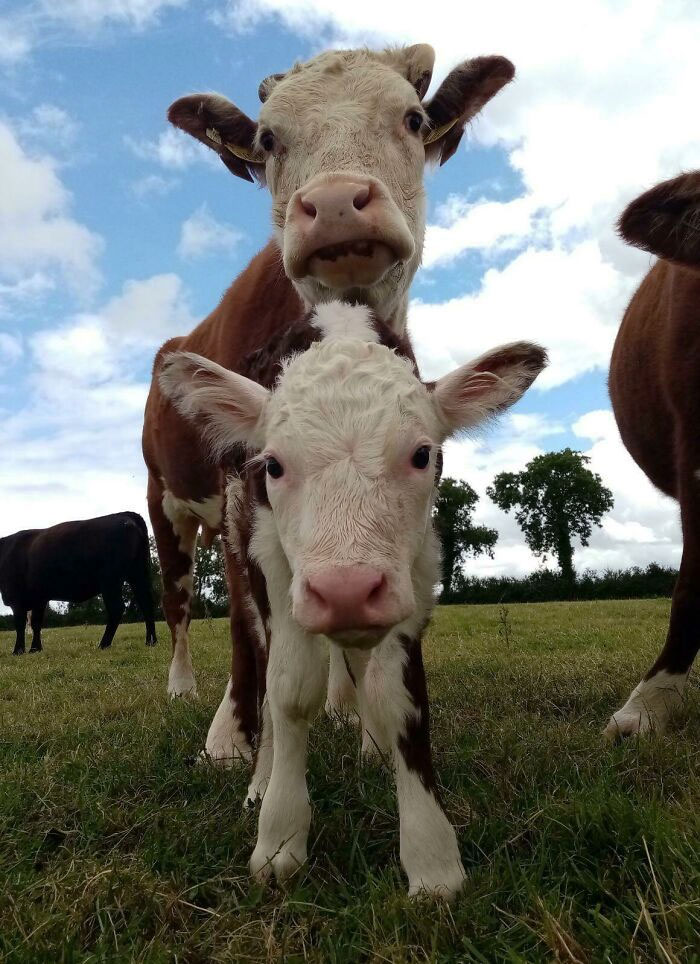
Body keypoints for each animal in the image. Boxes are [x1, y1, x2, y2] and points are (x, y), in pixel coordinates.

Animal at [0, 512, 157, 655]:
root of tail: (125, 515)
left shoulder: (16, 599)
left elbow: (20, 625)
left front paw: (18, 651)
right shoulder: (39, 599)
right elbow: (36, 623)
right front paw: (35, 649)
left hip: (111, 581)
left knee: (117, 609)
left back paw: (103, 644)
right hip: (139, 574)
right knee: (147, 603)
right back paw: (151, 641)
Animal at [143, 43, 516, 763]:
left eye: (413, 117)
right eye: (267, 140)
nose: (338, 201)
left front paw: (370, 728)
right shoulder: (243, 479)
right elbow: (246, 623)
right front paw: (233, 737)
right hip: (165, 502)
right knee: (178, 603)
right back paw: (180, 688)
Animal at [159, 299, 547, 897]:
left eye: (422, 455)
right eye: (273, 465)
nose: (345, 591)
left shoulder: (416, 568)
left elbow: (398, 698)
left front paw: (431, 859)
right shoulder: (270, 559)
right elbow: (289, 689)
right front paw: (279, 839)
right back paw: (261, 779)